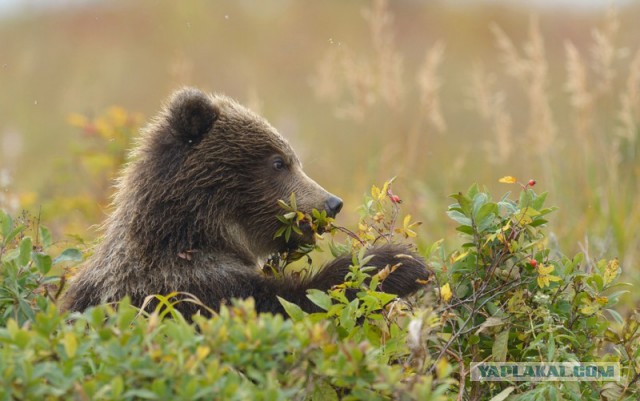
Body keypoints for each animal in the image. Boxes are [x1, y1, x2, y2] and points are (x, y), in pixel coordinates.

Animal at [61, 88, 430, 318]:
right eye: (279, 162)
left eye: (293, 159)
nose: (332, 203)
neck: (192, 237)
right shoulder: (184, 288)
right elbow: (296, 303)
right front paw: (398, 263)